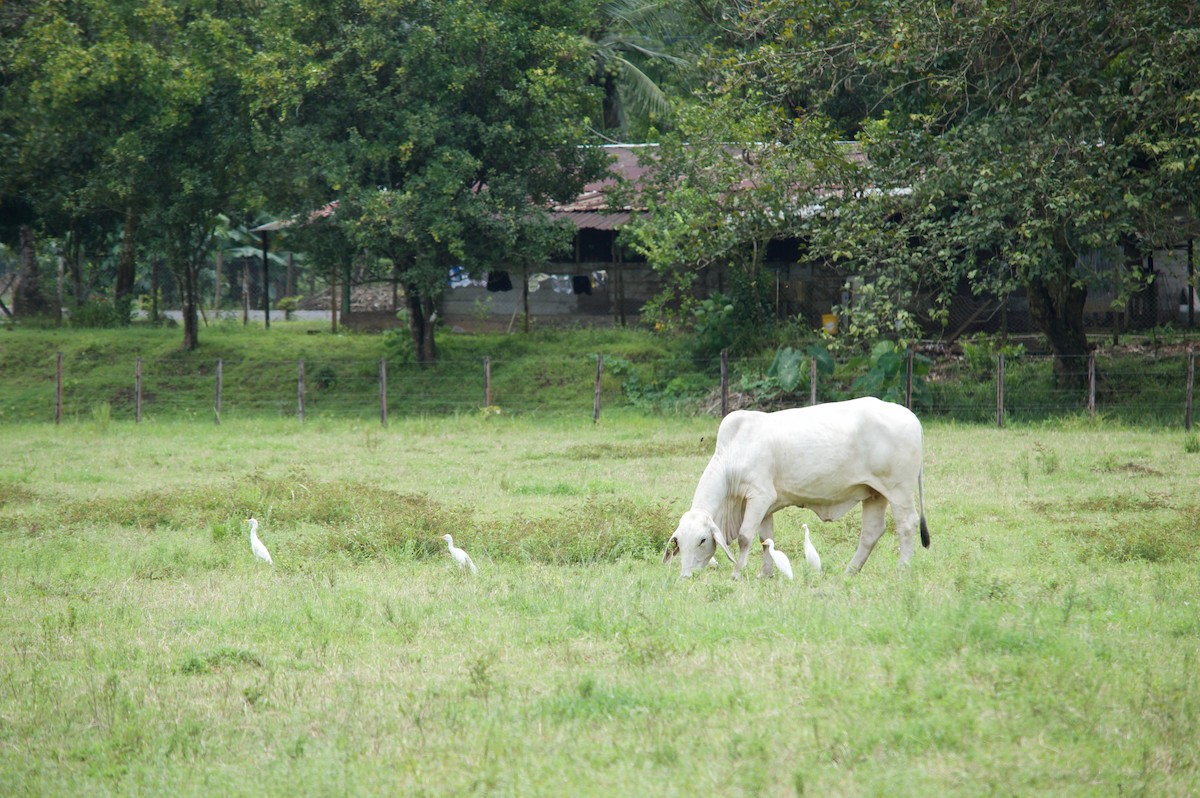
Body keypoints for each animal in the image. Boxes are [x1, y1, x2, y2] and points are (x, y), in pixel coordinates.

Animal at [667, 396, 926, 576]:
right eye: (678, 540)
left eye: (702, 540)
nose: (685, 576)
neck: (733, 454)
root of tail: (911, 416)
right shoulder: (765, 506)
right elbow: (765, 540)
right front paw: (766, 574)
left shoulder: (759, 497)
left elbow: (745, 537)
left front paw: (737, 574)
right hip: (875, 493)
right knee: (871, 532)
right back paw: (849, 572)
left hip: (899, 490)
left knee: (907, 525)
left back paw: (902, 571)